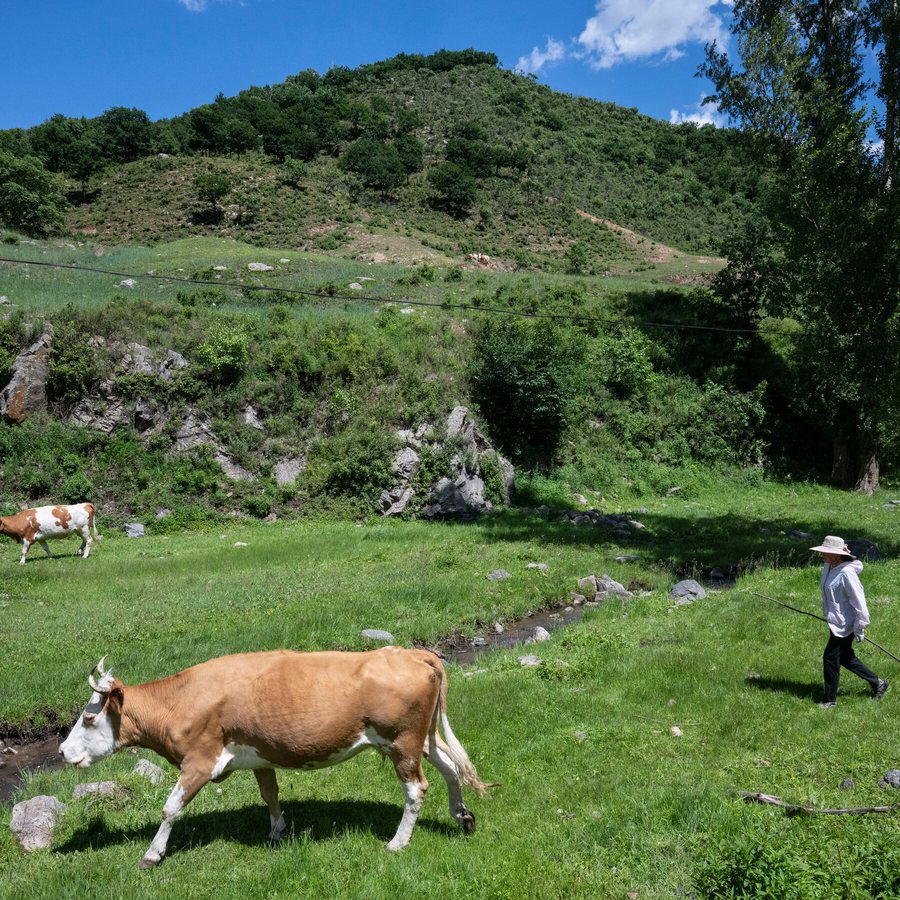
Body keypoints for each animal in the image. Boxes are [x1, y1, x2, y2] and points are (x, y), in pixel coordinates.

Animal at [60, 649, 493, 868]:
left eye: (89, 717)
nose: (62, 751)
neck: (181, 700)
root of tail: (412, 651)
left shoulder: (199, 761)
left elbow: (170, 808)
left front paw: (152, 854)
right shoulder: (260, 755)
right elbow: (270, 794)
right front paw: (277, 831)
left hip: (401, 742)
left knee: (417, 788)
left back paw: (398, 843)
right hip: (421, 739)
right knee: (451, 768)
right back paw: (463, 817)